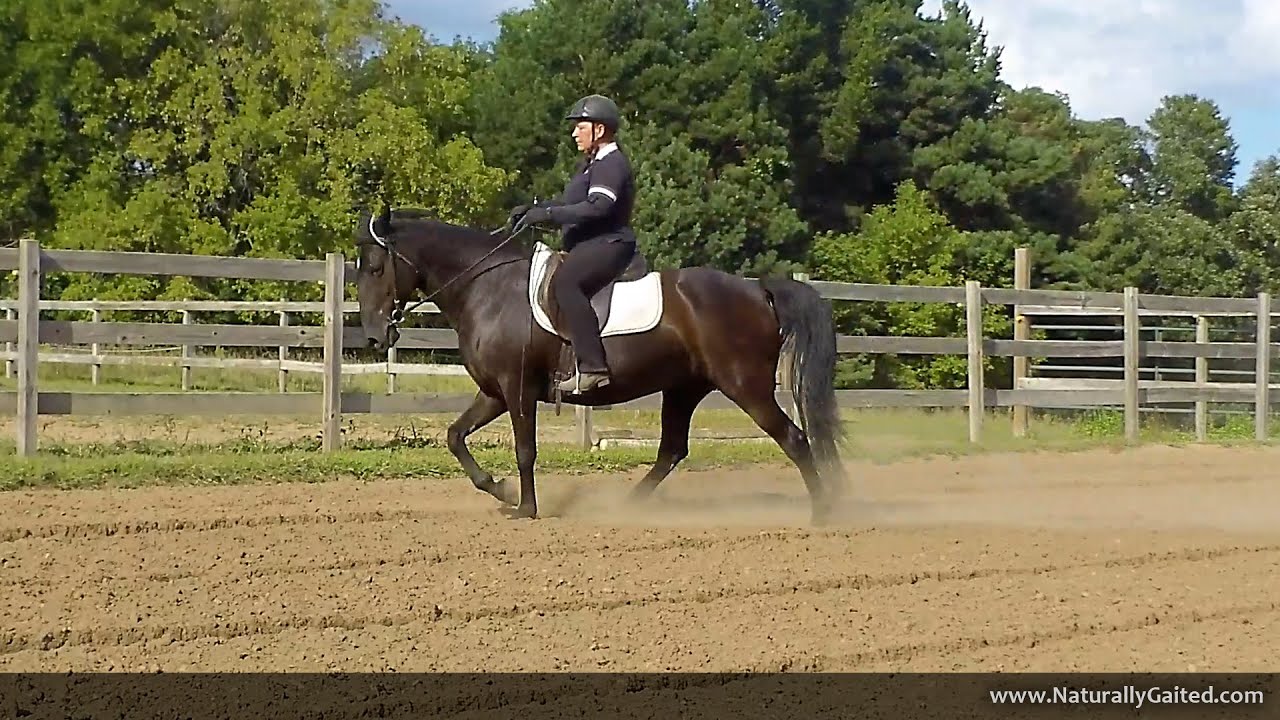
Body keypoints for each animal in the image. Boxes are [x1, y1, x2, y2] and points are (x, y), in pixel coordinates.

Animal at [351, 205, 849, 524]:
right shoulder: (494, 392)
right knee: (672, 451)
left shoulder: (516, 388)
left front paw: (526, 509)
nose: (375, 336)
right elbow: (455, 436)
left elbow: (525, 449)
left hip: (745, 386)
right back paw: (627, 506)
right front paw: (503, 491)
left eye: (375, 268)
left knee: (794, 438)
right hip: (684, 388)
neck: (489, 288)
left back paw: (824, 513)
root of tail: (757, 289)